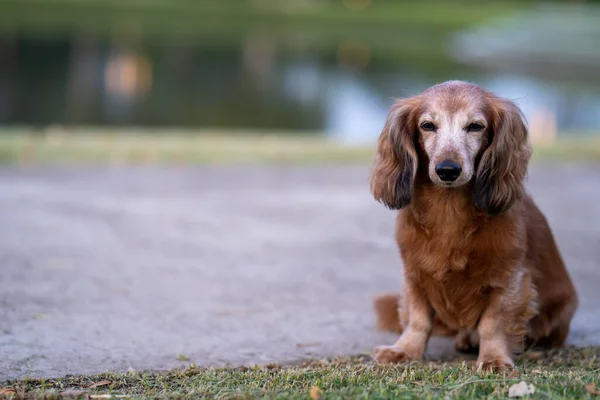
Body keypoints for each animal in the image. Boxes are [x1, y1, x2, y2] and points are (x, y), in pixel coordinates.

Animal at [370, 80, 576, 372]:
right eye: (427, 125)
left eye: (475, 126)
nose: (447, 170)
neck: (449, 210)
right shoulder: (414, 275)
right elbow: (419, 319)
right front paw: (405, 350)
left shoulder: (507, 279)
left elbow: (493, 323)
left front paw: (494, 358)